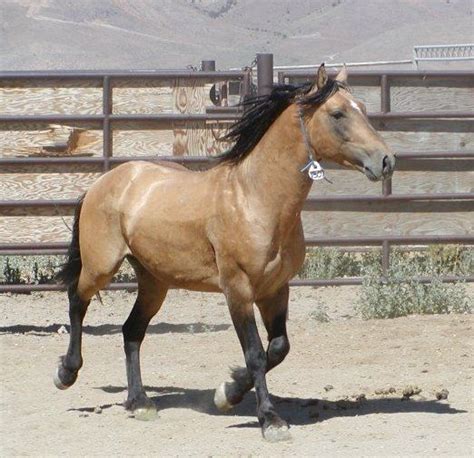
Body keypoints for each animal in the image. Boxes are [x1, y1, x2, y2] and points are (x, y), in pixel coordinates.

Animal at [53, 64, 394, 440]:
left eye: (363, 107)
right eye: (337, 113)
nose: (386, 160)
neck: (255, 199)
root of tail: (104, 182)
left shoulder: (276, 290)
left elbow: (278, 348)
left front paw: (227, 393)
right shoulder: (238, 290)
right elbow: (256, 353)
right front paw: (270, 421)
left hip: (154, 281)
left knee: (132, 331)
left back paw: (139, 402)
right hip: (101, 266)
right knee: (77, 300)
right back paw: (66, 374)